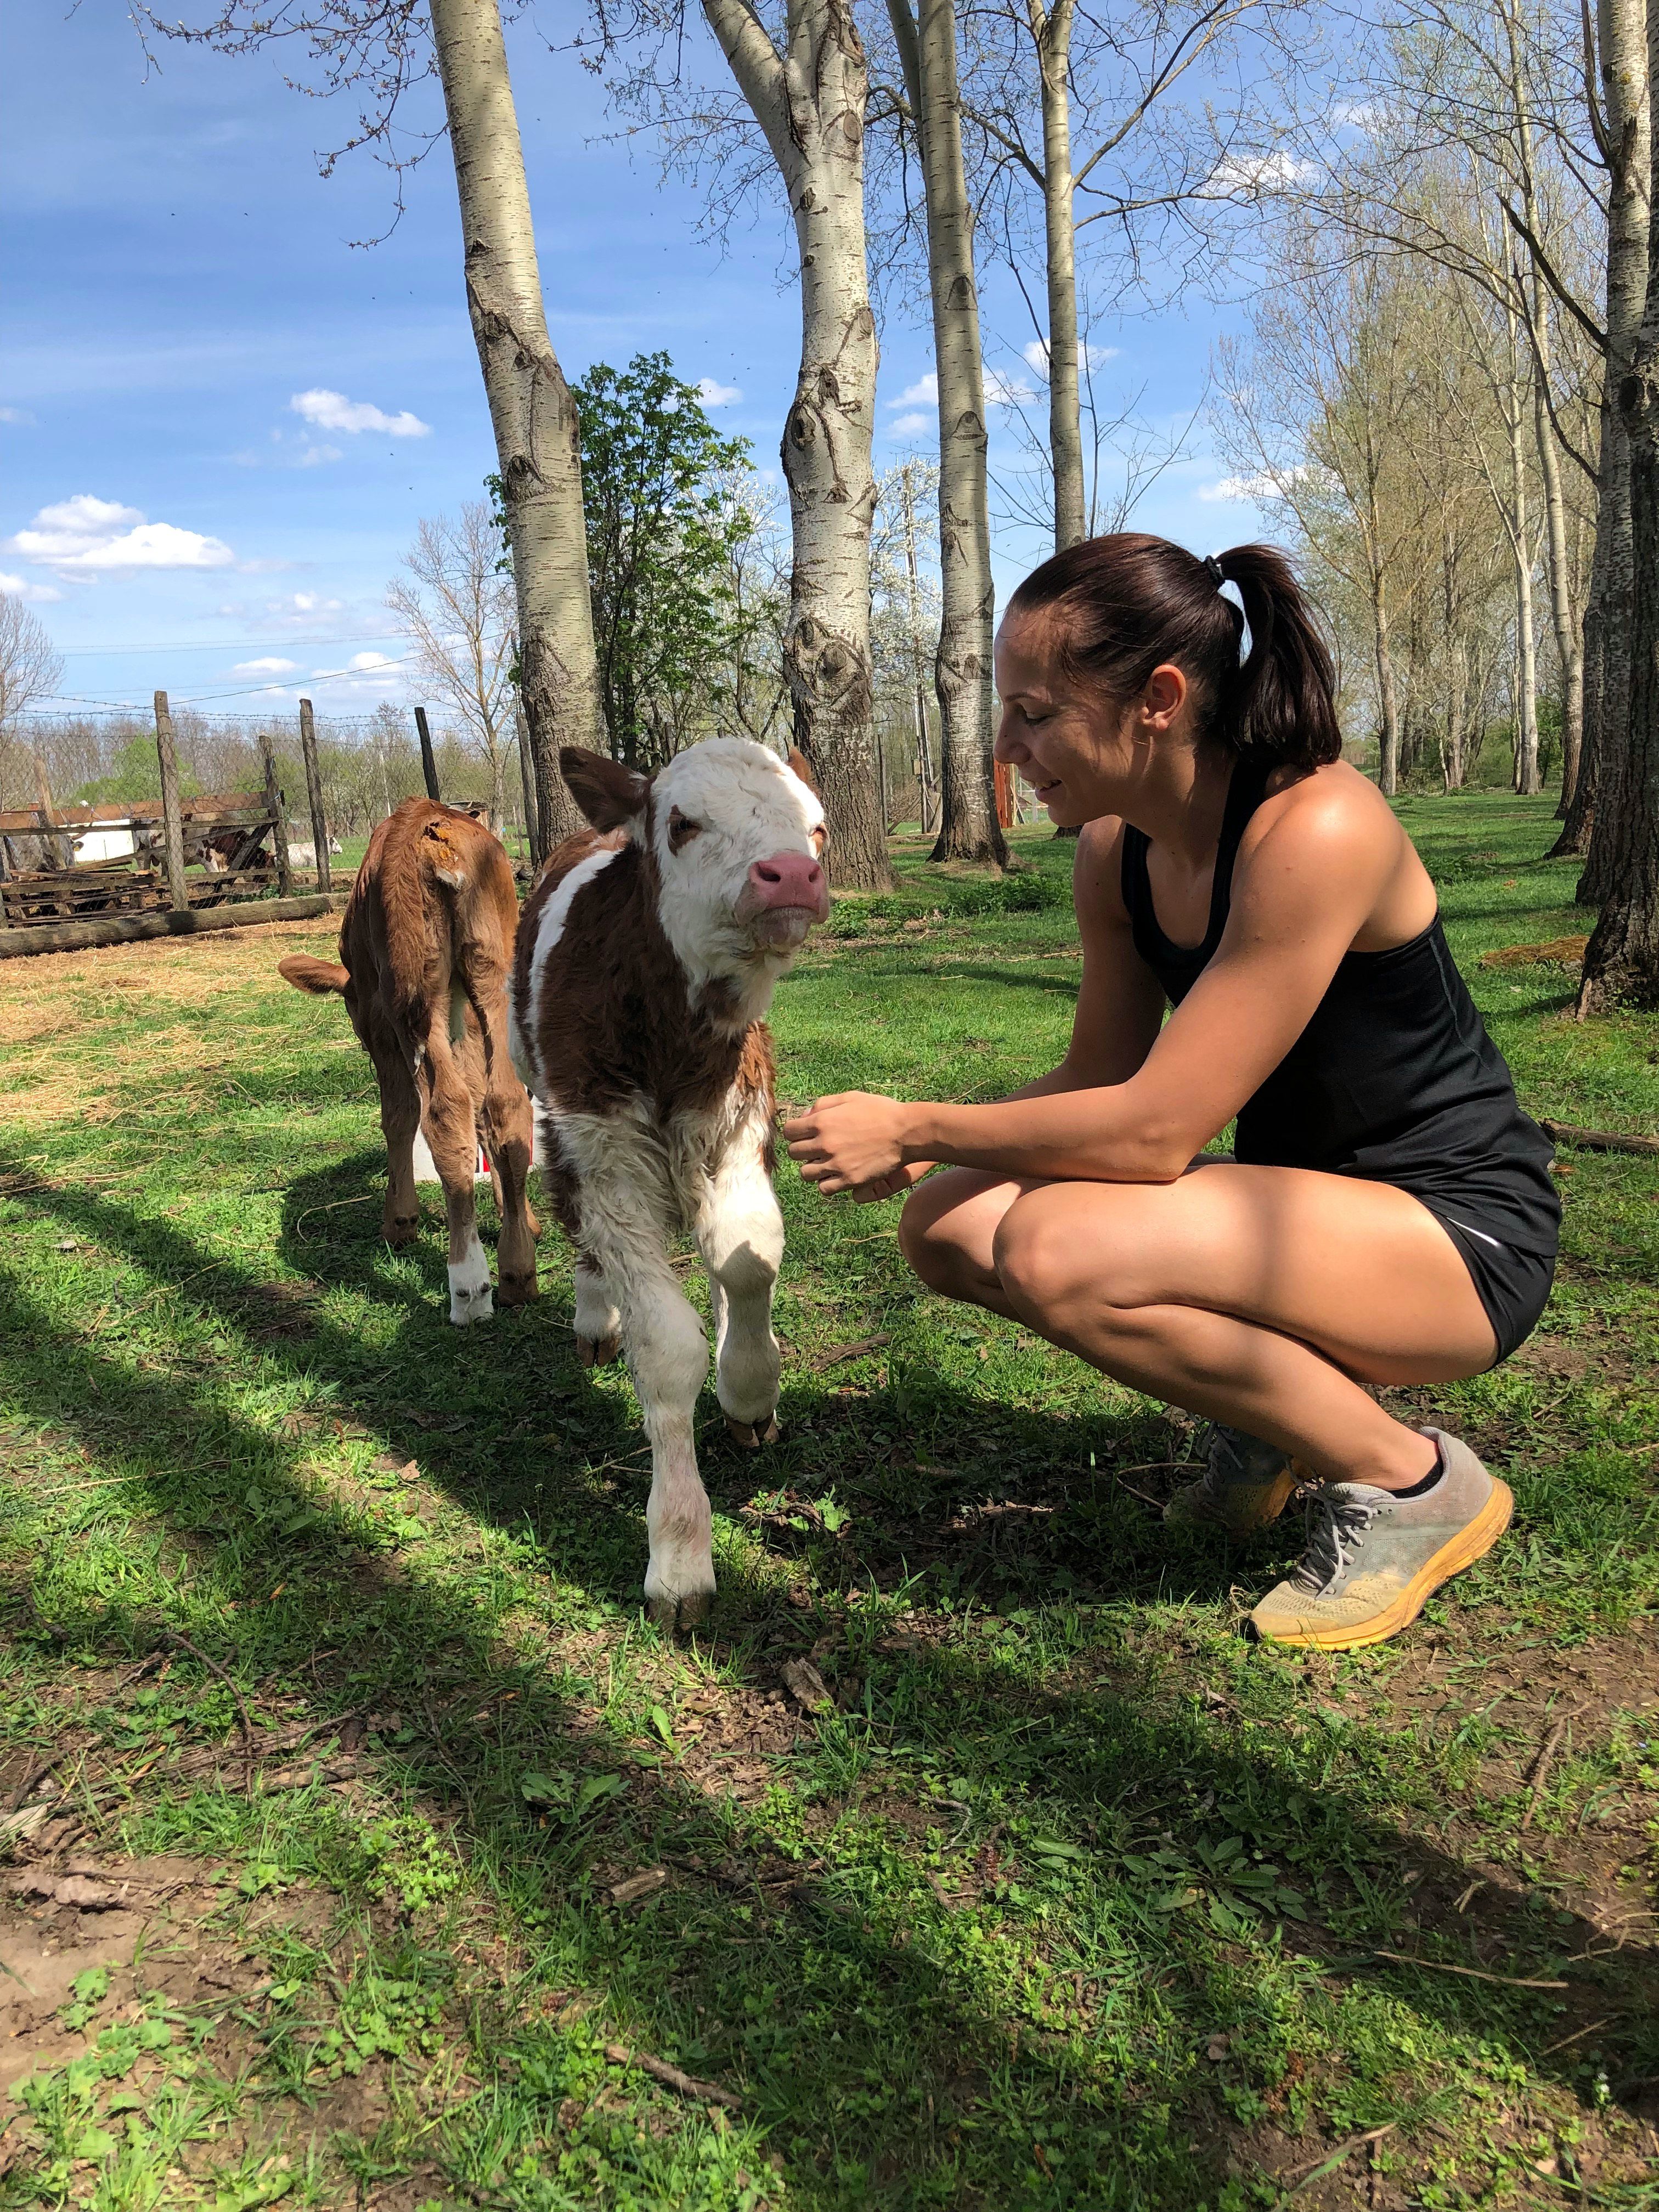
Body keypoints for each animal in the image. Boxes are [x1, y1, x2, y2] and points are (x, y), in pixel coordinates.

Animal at [280, 796, 539, 1318]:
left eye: (351, 1008)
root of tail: (432, 828)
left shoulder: (378, 1020)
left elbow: (398, 1114)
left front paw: (400, 1220)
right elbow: (483, 1107)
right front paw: (516, 1213)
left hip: (410, 996)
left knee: (443, 1110)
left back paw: (468, 1284)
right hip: (492, 971)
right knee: (505, 1104)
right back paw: (518, 1269)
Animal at [513, 738, 832, 1628]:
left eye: (818, 827)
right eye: (684, 824)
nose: (793, 875)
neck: (674, 1032)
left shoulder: (738, 1121)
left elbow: (749, 1261)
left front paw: (749, 1387)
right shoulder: (601, 1143)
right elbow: (664, 1349)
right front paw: (681, 1555)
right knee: (577, 1224)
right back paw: (595, 1315)